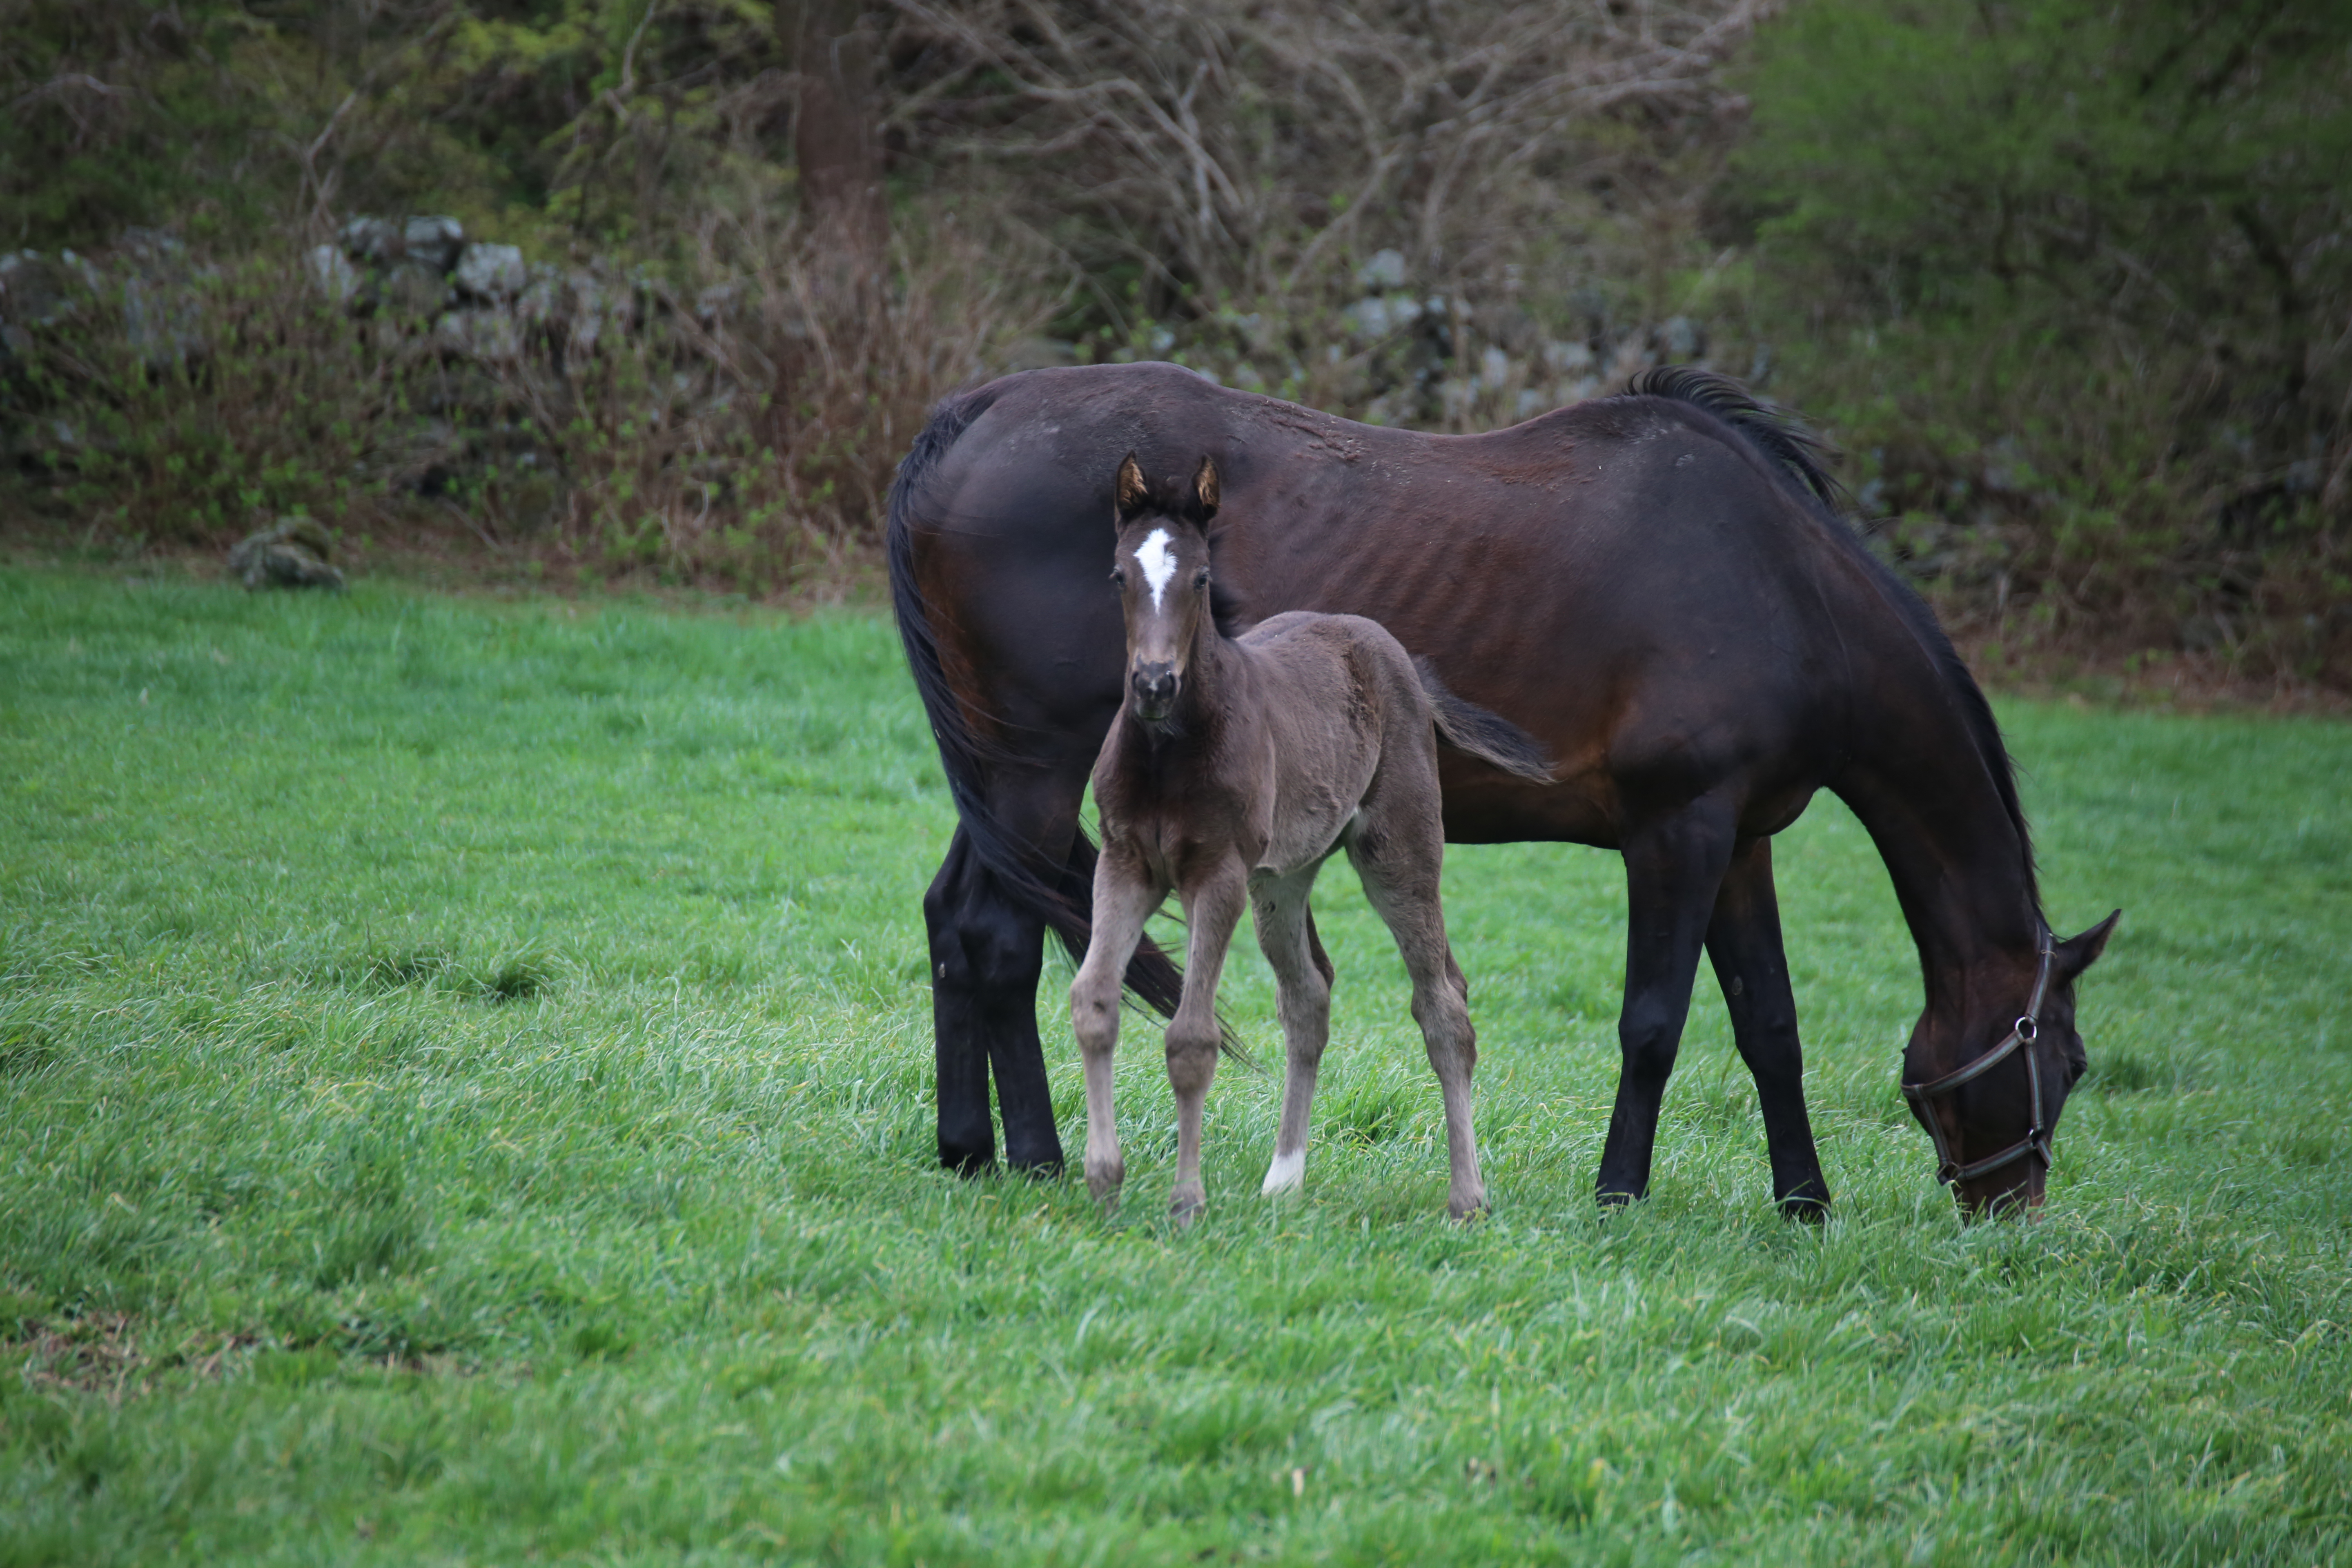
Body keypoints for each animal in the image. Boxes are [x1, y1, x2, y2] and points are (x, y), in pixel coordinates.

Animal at [889, 359, 2126, 1213]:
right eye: (2064, 1061)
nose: (2010, 1209)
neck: (1779, 584)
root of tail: (969, 417)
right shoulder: (1678, 830)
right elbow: (1654, 1021)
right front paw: (1619, 1190)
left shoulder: (1742, 840)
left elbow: (1769, 1022)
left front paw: (1803, 1200)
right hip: (1038, 779)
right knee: (999, 939)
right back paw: (1039, 1157)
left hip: (1009, 784)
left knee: (956, 923)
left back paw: (968, 1149)